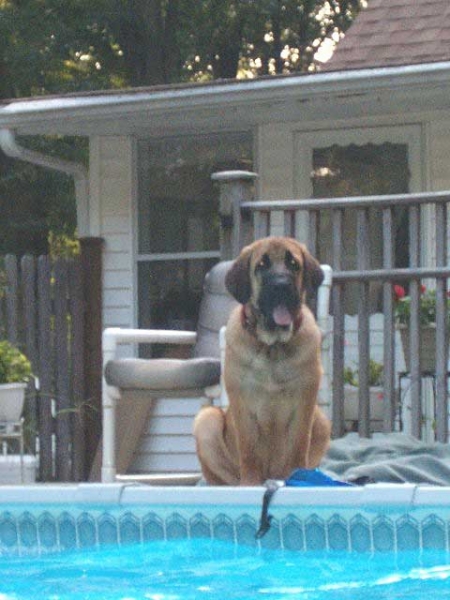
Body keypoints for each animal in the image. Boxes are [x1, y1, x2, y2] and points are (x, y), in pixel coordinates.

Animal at [193, 237, 330, 486]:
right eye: (262, 265)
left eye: (293, 264)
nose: (281, 285)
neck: (272, 347)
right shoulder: (242, 401)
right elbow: (249, 450)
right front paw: (250, 483)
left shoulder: (304, 401)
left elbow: (298, 446)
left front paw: (298, 477)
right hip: (206, 420)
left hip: (322, 422)